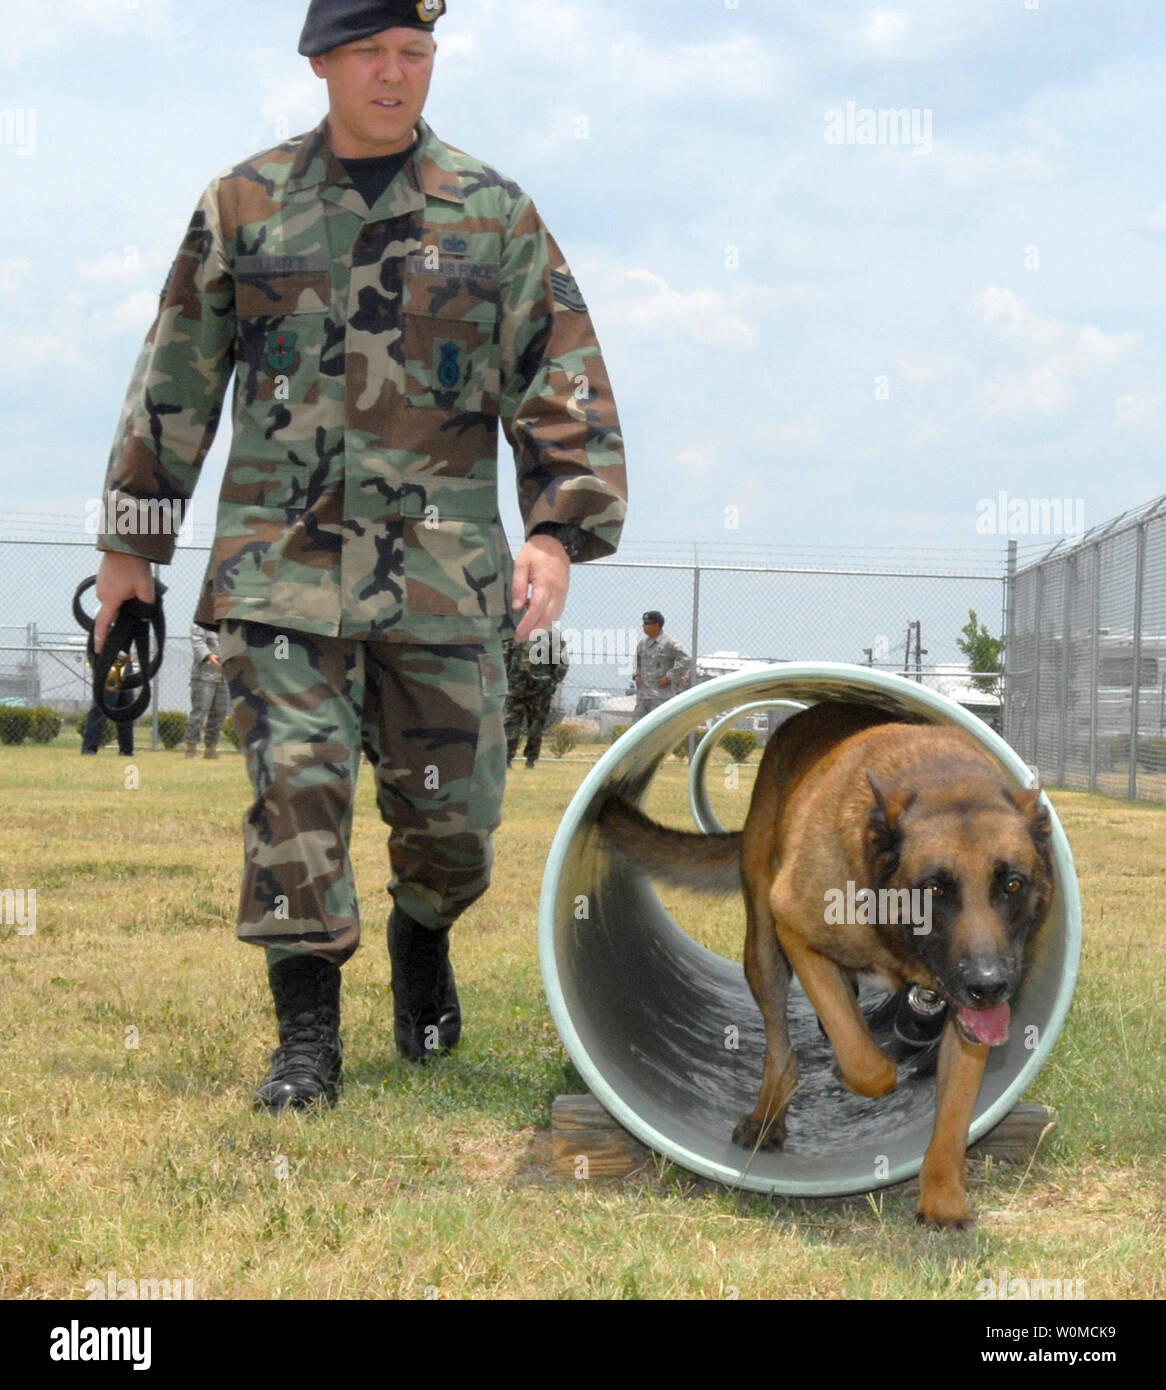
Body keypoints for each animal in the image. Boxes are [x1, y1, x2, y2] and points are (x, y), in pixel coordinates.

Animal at [603, 706, 1056, 1228]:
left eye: (1013, 885)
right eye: (934, 890)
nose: (989, 986)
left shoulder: (966, 1023)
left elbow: (954, 1114)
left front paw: (942, 1197)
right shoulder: (796, 931)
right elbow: (866, 1063)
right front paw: (849, 1070)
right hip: (763, 948)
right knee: (780, 1050)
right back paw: (767, 1116)